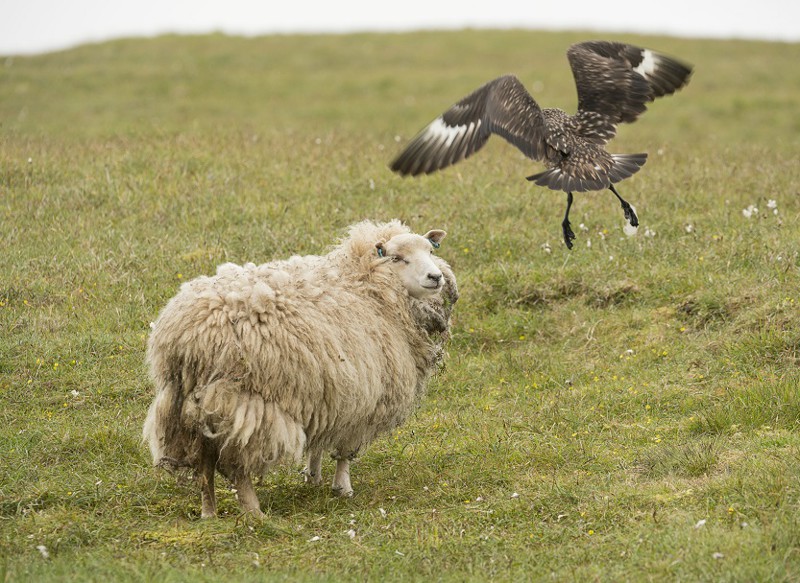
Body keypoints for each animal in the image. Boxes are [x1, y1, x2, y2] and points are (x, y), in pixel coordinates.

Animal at [142, 218, 456, 516]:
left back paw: (209, 512)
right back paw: (254, 512)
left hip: (188, 408)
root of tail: (191, 334)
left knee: (204, 462)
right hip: (246, 405)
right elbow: (345, 451)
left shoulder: (329, 395)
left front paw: (313, 475)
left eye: (430, 251)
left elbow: (319, 441)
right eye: (397, 258)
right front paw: (343, 488)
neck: (367, 284)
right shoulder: (364, 400)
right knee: (236, 464)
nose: (436, 277)